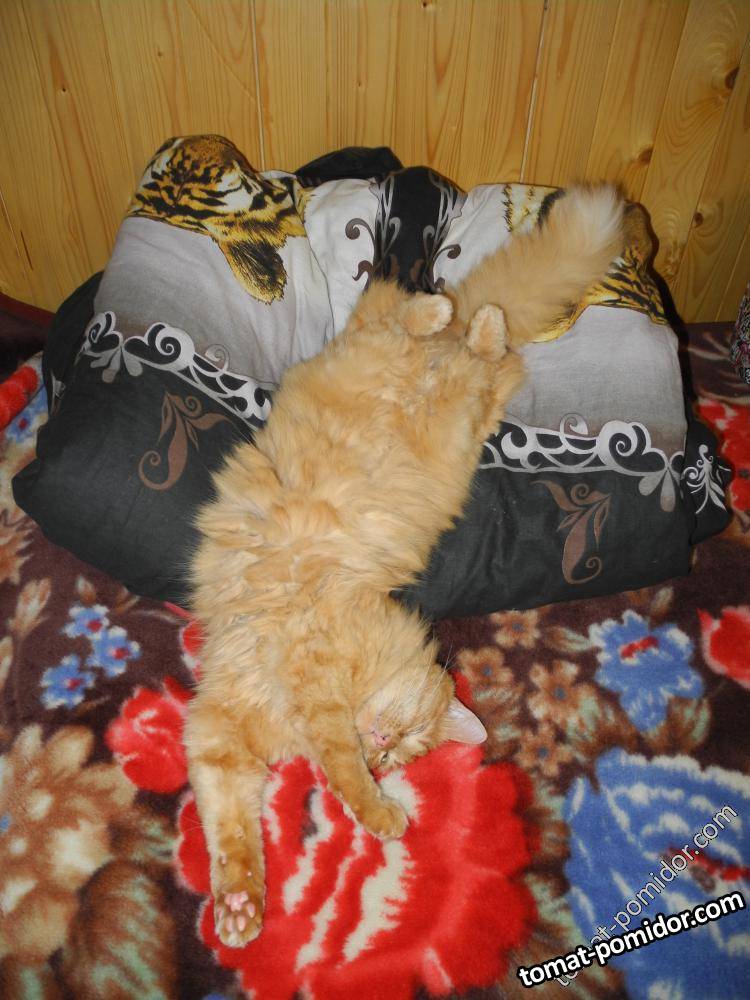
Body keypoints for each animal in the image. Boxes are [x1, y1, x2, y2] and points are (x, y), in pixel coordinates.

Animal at [185, 184, 625, 947]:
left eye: (407, 751)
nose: (388, 748)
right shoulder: (291, 693)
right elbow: (336, 772)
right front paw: (383, 812)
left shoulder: (223, 733)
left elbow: (235, 832)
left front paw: (238, 909)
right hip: (382, 355)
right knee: (410, 314)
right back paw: (453, 315)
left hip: (470, 415)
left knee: (483, 356)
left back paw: (475, 323)